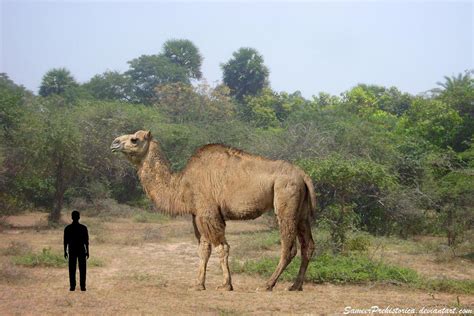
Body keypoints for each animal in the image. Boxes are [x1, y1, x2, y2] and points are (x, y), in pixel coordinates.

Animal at [111, 130, 316, 290]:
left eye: (134, 139)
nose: (114, 143)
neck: (182, 184)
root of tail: (303, 175)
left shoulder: (209, 212)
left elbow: (221, 247)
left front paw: (226, 284)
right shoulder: (197, 215)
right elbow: (204, 249)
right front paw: (198, 284)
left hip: (285, 198)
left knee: (289, 246)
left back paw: (267, 285)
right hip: (302, 212)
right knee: (308, 245)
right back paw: (295, 286)